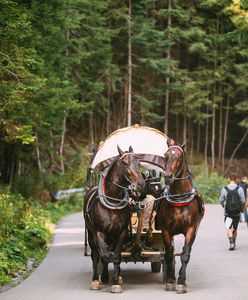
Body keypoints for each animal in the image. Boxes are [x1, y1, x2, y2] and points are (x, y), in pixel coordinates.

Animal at [84, 145, 145, 292]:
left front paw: (116, 282)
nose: (140, 184)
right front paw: (105, 277)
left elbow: (117, 257)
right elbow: (105, 255)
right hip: (91, 233)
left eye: (139, 162)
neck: (113, 202)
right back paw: (96, 279)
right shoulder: (99, 233)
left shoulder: (121, 233)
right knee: (96, 254)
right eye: (125, 163)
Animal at [160, 142, 204, 294]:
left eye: (179, 156)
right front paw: (170, 280)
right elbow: (168, 254)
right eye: (165, 155)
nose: (168, 176)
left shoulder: (191, 229)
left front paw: (181, 282)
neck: (179, 197)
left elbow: (185, 255)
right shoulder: (166, 230)